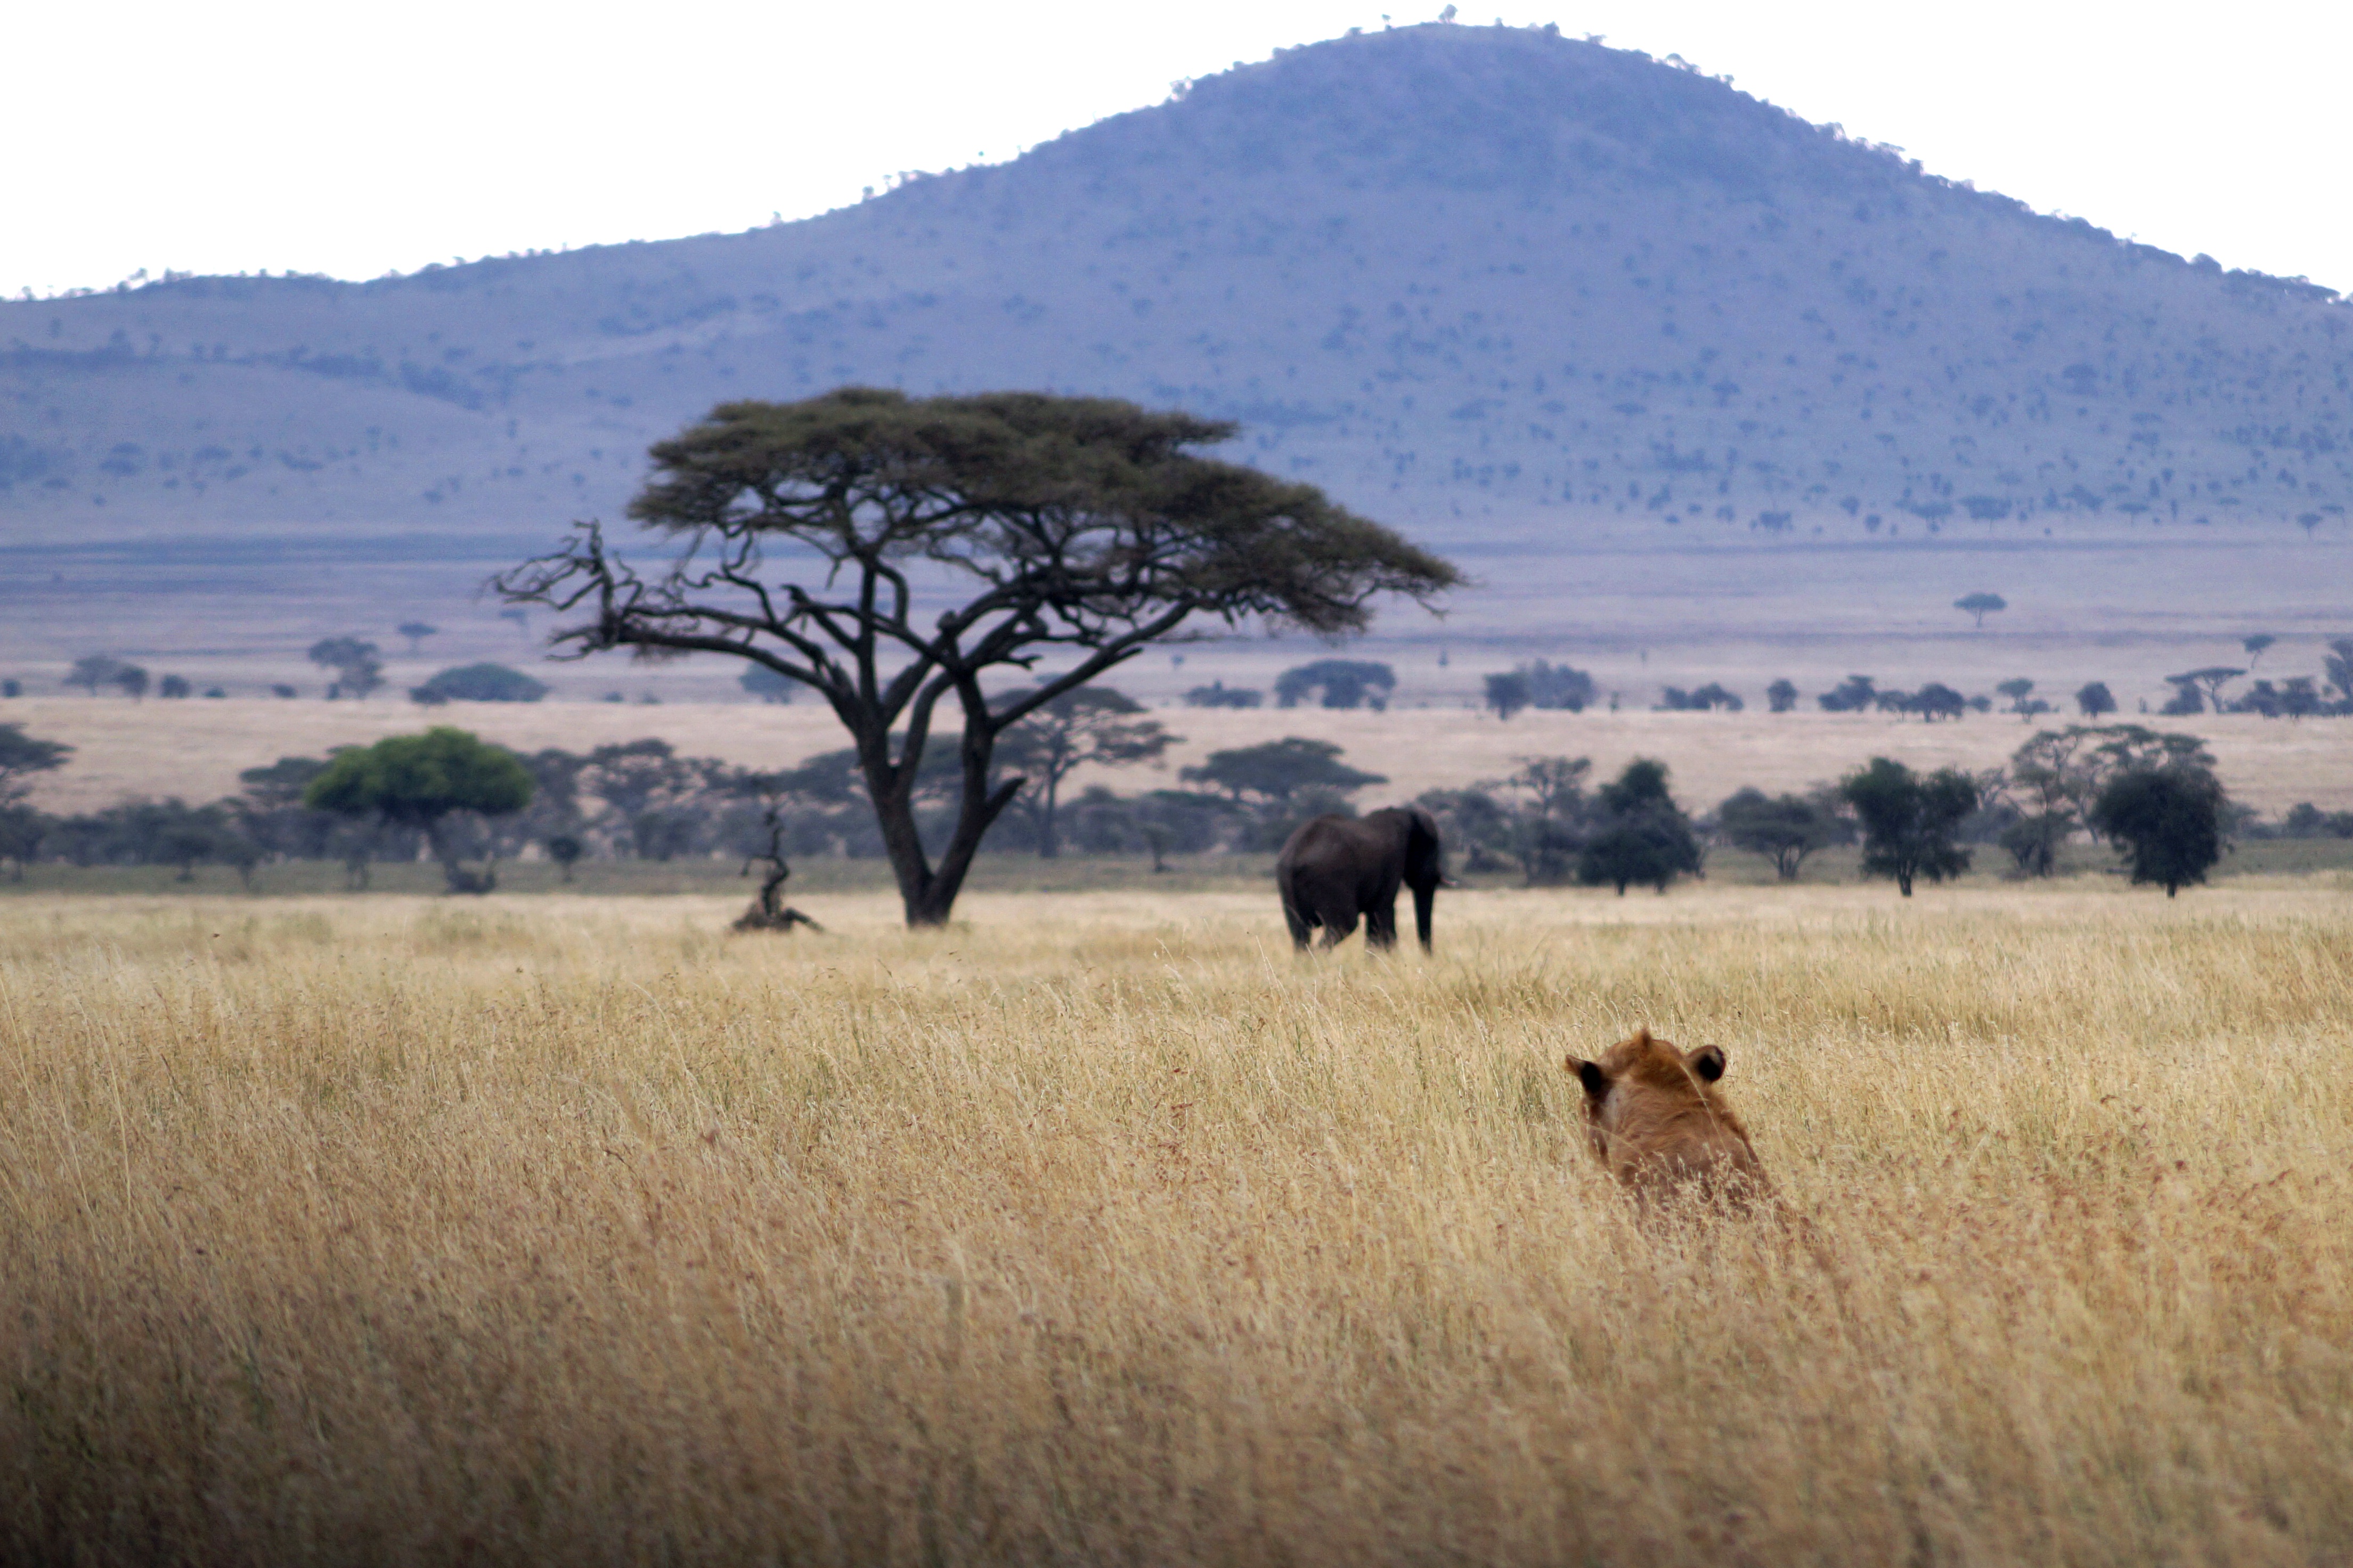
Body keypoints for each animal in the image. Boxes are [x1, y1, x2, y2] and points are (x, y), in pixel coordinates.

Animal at [1280, 808, 1440, 959]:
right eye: (1432, 848)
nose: (1428, 959)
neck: (1407, 815)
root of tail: (1295, 855)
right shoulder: (1393, 863)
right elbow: (1383, 910)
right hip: (1329, 882)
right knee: (1343, 926)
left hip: (1288, 885)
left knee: (1300, 933)